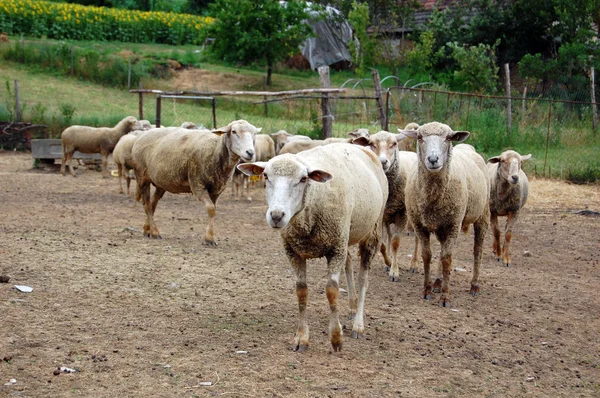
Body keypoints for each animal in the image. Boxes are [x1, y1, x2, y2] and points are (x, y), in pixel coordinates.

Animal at [239, 143, 390, 352]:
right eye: (266, 176)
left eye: (303, 179)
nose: (276, 215)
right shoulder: (294, 251)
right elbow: (301, 291)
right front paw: (301, 338)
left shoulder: (335, 249)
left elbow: (332, 291)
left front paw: (336, 338)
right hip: (345, 235)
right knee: (349, 263)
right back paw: (352, 307)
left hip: (371, 232)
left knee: (363, 278)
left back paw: (358, 324)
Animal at [352, 130, 418, 280]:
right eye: (371, 144)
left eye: (394, 143)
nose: (382, 161)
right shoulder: (381, 216)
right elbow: (382, 243)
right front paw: (388, 262)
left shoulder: (403, 213)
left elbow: (395, 242)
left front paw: (394, 271)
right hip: (387, 216)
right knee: (388, 234)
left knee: (418, 238)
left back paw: (414, 264)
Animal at [400, 122, 490, 308]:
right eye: (419, 137)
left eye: (448, 138)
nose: (433, 160)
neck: (433, 196)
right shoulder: (419, 224)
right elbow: (427, 256)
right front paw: (427, 290)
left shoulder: (454, 224)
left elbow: (447, 259)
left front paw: (445, 297)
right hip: (442, 225)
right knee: (441, 251)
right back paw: (437, 282)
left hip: (482, 215)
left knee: (477, 250)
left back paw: (474, 285)